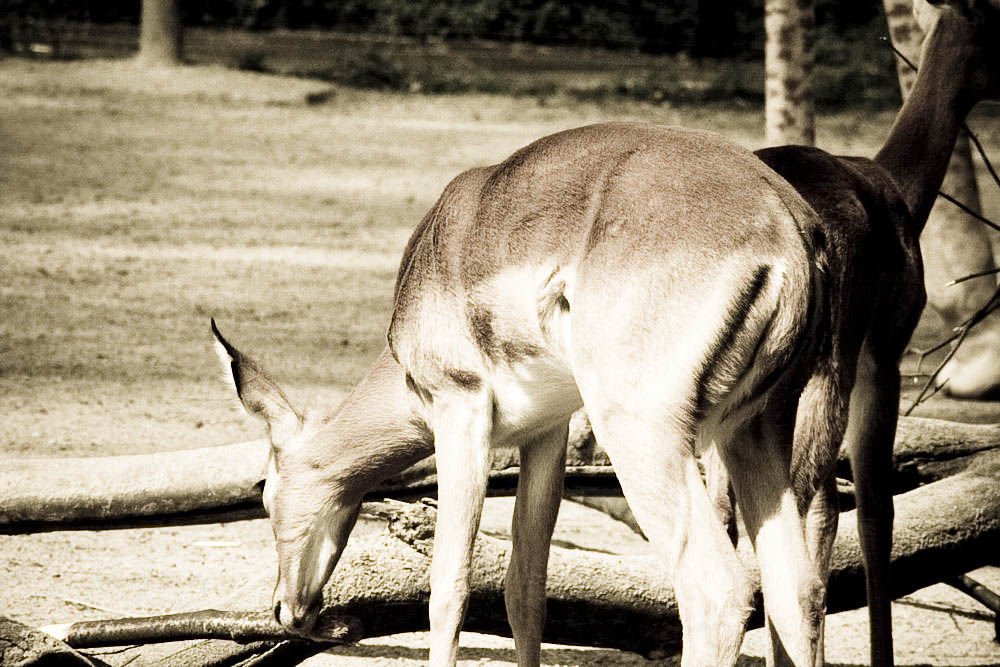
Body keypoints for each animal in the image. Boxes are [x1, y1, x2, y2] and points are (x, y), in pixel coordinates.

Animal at [211, 1, 999, 664]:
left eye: (263, 488)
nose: (287, 609)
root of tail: (794, 229)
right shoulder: (544, 432)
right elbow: (523, 587)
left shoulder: (460, 416)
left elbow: (450, 588)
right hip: (755, 429)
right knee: (797, 582)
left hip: (654, 433)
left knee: (720, 585)